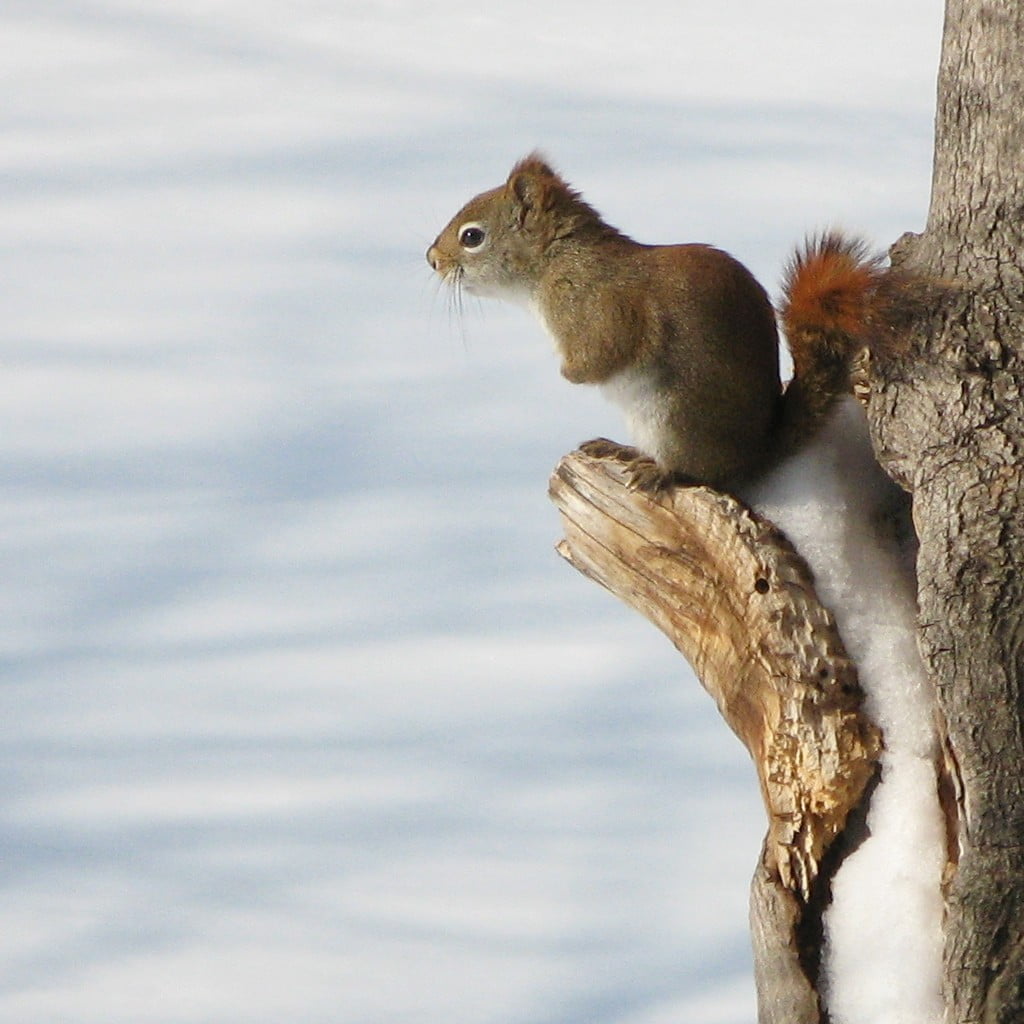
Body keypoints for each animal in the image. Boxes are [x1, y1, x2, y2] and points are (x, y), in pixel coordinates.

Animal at [426, 153, 894, 492]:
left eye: (472, 236)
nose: (432, 259)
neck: (554, 263)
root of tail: (754, 453)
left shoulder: (599, 309)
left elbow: (602, 356)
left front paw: (569, 374)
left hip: (676, 419)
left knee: (703, 474)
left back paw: (660, 471)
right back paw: (622, 451)